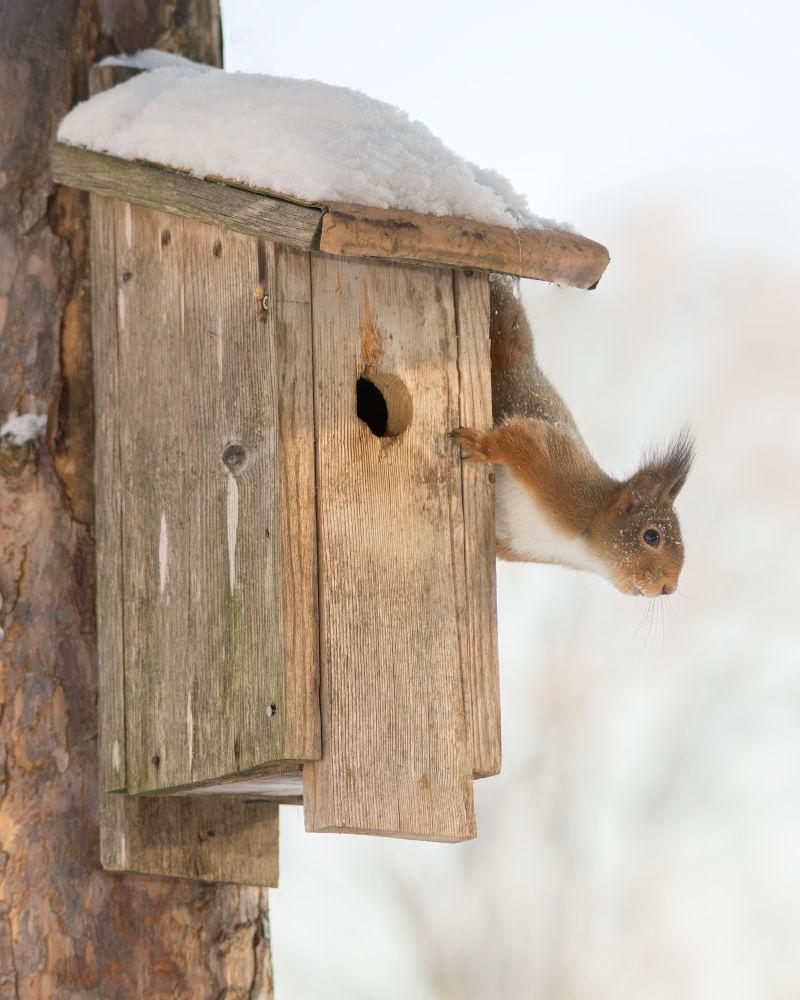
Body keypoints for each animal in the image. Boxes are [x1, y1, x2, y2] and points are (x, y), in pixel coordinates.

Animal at [460, 274, 692, 596]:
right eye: (651, 536)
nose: (668, 587)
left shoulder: (513, 542)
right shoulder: (556, 466)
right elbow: (521, 438)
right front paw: (482, 445)